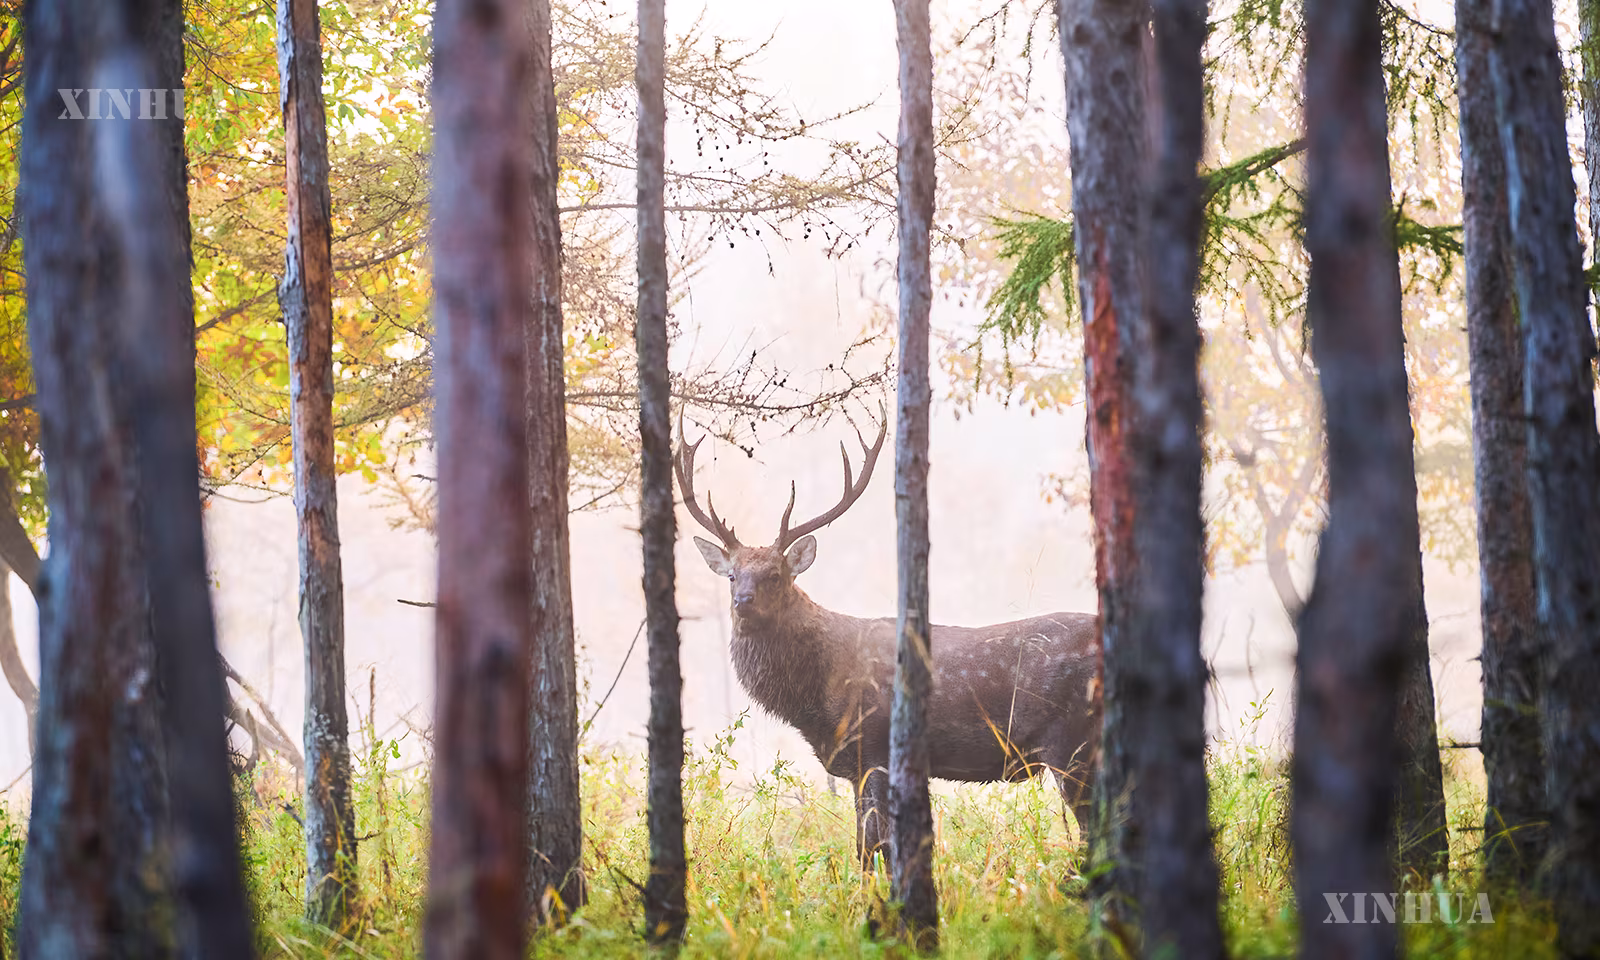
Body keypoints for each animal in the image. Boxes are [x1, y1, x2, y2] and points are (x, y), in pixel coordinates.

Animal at [676, 406, 1101, 869]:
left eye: (775, 575)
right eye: (732, 575)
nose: (742, 602)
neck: (815, 697)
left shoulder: (875, 747)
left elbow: (872, 846)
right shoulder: (854, 764)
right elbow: (867, 845)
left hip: (1071, 742)